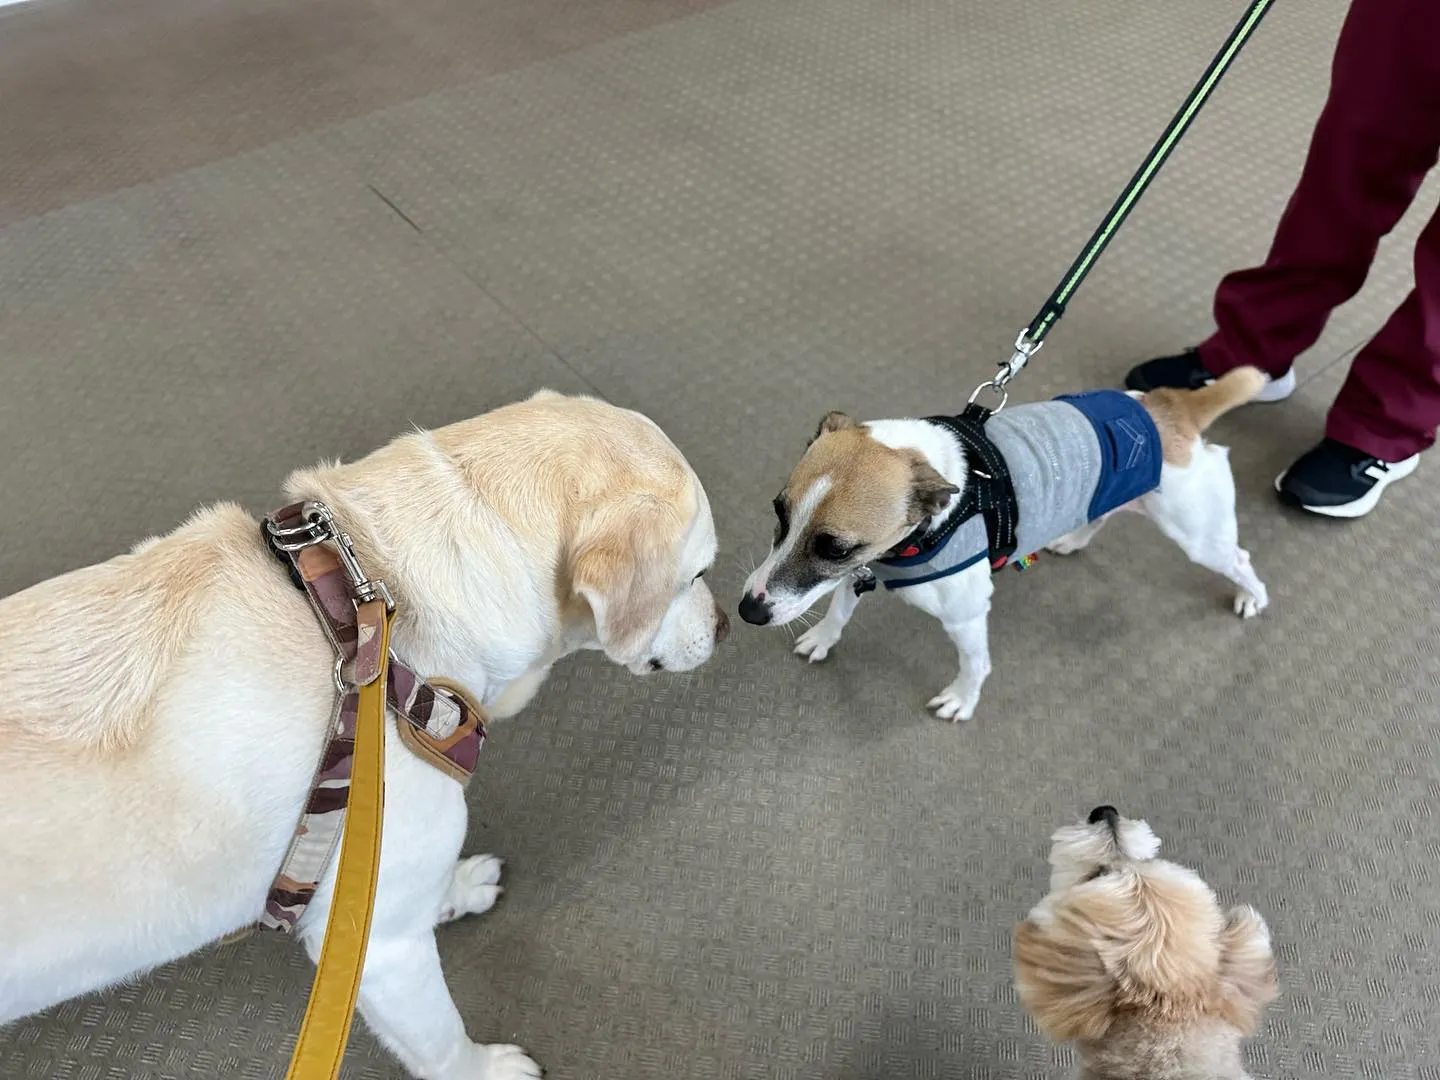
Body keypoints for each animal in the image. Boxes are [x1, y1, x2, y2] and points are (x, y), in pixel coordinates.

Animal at [0, 391, 720, 1080]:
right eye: (697, 575)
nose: (727, 627)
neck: (373, 626)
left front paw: (457, 890)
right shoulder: (383, 953)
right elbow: (440, 1043)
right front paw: (486, 1070)